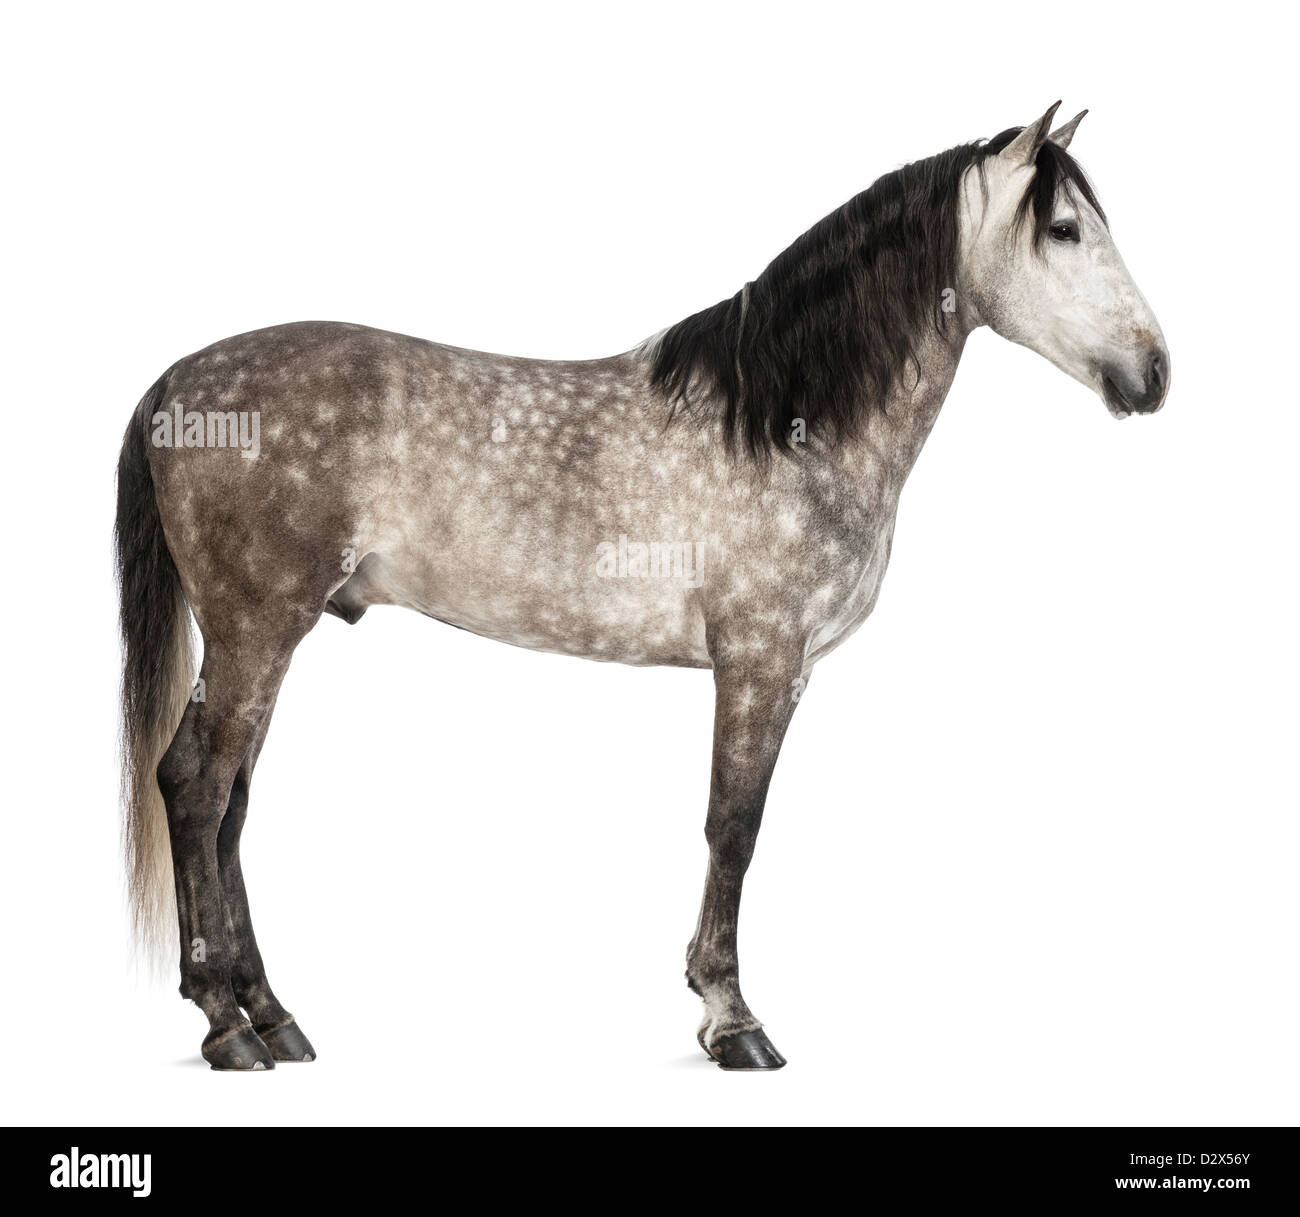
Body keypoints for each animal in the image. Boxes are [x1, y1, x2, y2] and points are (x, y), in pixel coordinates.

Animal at [115, 102, 1169, 1071]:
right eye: (1063, 228)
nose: (1154, 371)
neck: (783, 421)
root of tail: (175, 382)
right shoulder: (758, 662)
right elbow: (734, 828)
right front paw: (733, 1020)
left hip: (259, 638)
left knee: (230, 801)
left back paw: (274, 1016)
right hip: (256, 629)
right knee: (199, 788)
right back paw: (225, 1024)